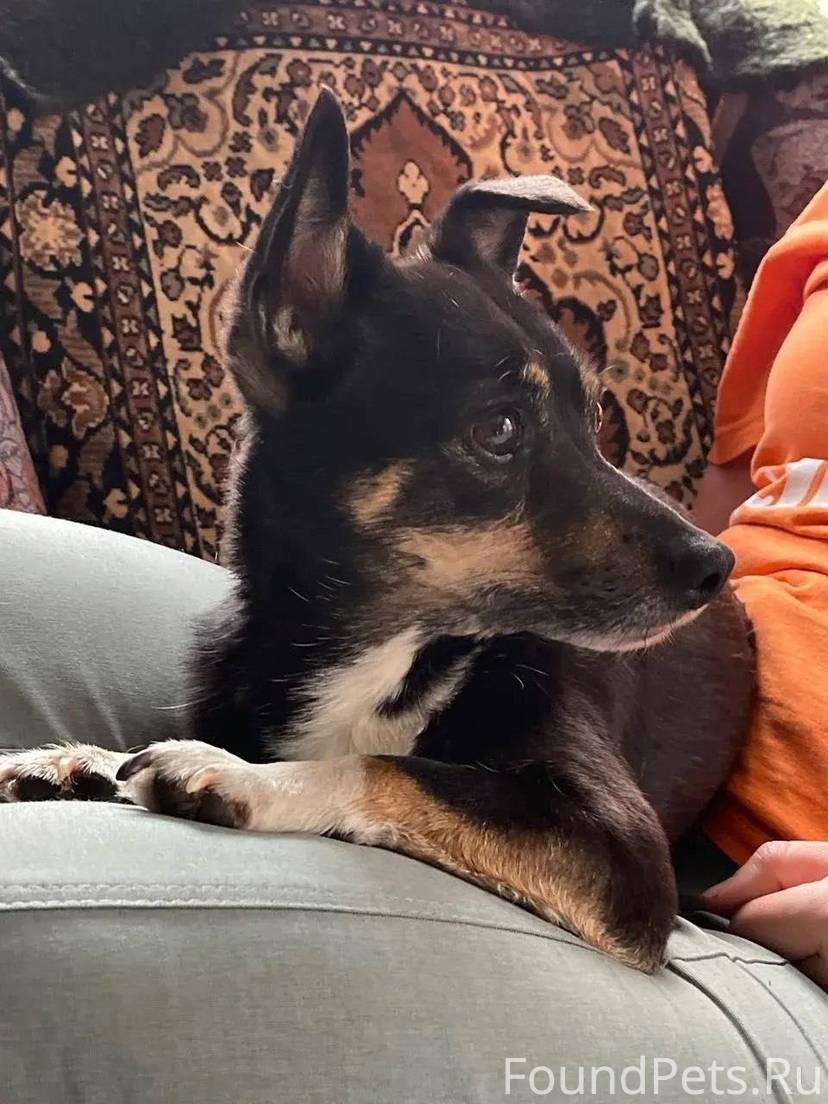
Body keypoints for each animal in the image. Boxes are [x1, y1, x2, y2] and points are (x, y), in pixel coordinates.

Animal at [0, 90, 754, 972]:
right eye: (499, 429)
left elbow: (391, 765)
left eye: (595, 419)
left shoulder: (623, 853)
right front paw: (78, 760)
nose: (717, 564)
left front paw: (246, 778)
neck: (383, 650)